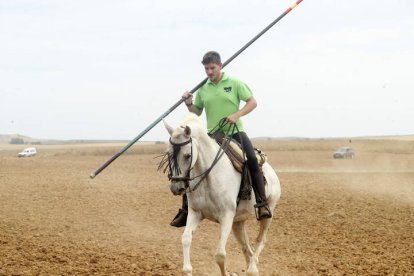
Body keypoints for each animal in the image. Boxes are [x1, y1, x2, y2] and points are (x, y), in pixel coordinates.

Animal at [162, 113, 282, 274]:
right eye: (168, 154)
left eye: (187, 155)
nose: (176, 187)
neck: (209, 176)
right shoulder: (196, 213)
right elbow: (186, 238)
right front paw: (188, 270)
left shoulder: (226, 216)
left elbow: (220, 254)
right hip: (238, 222)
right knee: (246, 248)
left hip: (268, 212)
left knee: (260, 240)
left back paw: (252, 269)